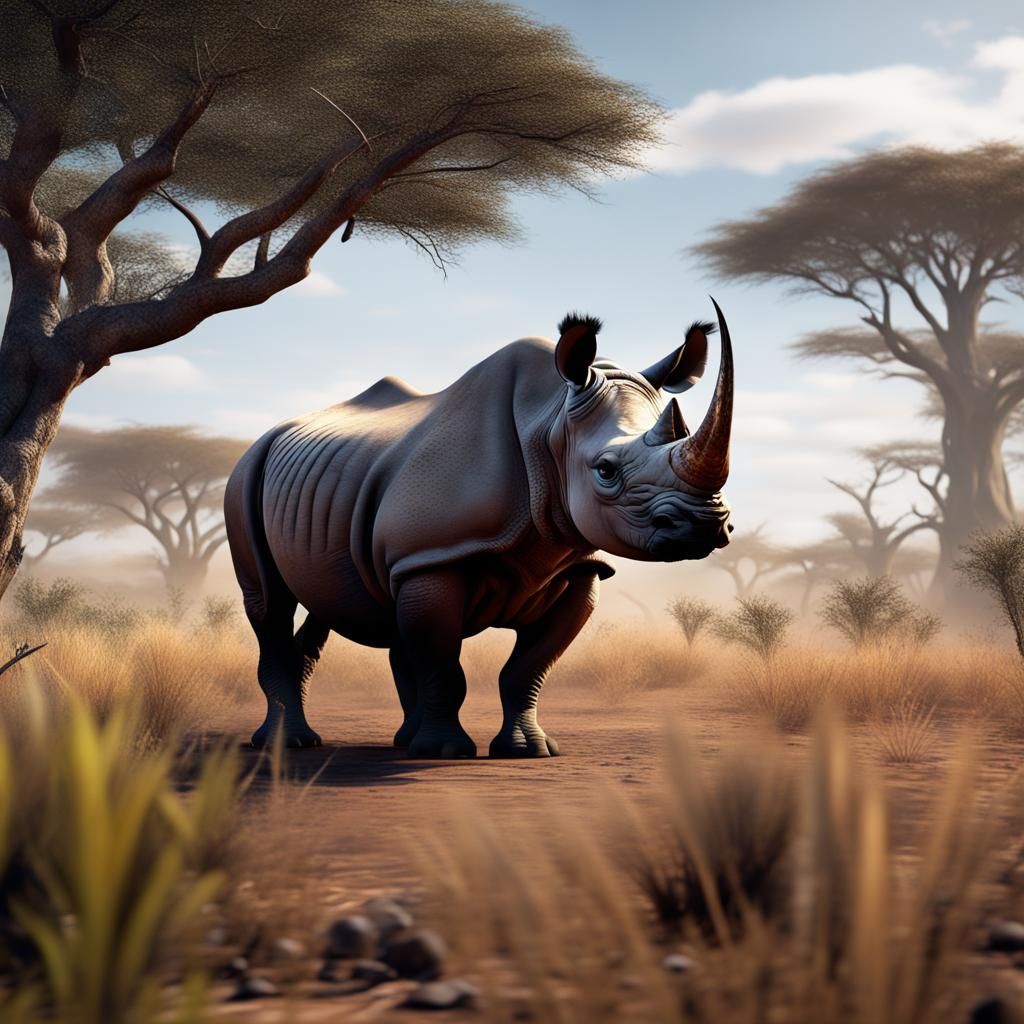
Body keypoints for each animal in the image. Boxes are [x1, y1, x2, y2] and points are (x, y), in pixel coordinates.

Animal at [224, 300, 734, 758]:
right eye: (606, 470)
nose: (707, 526)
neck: (549, 423)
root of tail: (273, 433)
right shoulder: (432, 557)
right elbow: (444, 666)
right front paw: (445, 751)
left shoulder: (579, 566)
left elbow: (527, 669)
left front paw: (529, 751)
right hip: (245, 473)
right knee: (269, 604)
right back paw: (290, 745)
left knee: (336, 601)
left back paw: (397, 741)